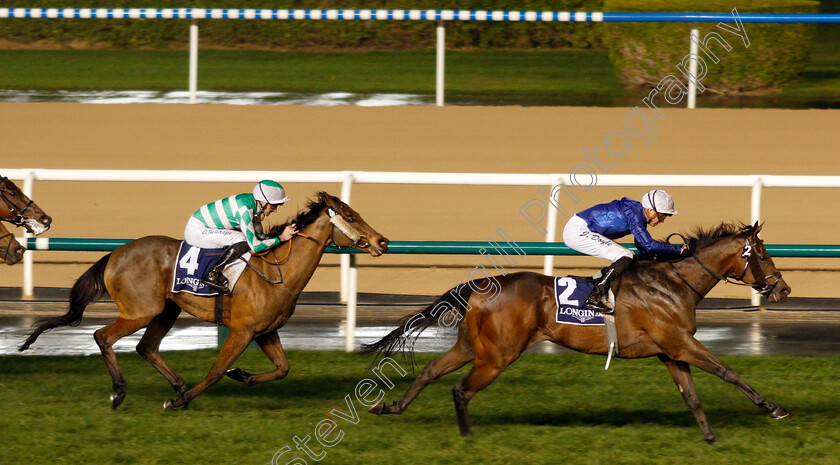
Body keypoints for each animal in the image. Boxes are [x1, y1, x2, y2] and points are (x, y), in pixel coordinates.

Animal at [18, 192, 388, 410]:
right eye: (351, 218)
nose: (382, 241)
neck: (276, 270)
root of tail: (115, 254)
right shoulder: (242, 331)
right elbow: (216, 370)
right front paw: (181, 401)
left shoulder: (266, 331)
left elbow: (282, 369)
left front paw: (242, 375)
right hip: (141, 311)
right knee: (103, 336)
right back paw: (122, 391)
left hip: (165, 310)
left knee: (146, 347)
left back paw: (178, 385)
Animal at [364, 222, 792, 442]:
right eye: (764, 254)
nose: (783, 289)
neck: (674, 283)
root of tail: (482, 285)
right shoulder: (681, 343)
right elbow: (728, 372)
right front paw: (773, 408)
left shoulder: (670, 351)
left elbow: (691, 396)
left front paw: (709, 436)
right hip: (498, 355)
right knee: (461, 389)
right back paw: (467, 436)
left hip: (473, 347)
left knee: (430, 371)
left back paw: (392, 407)